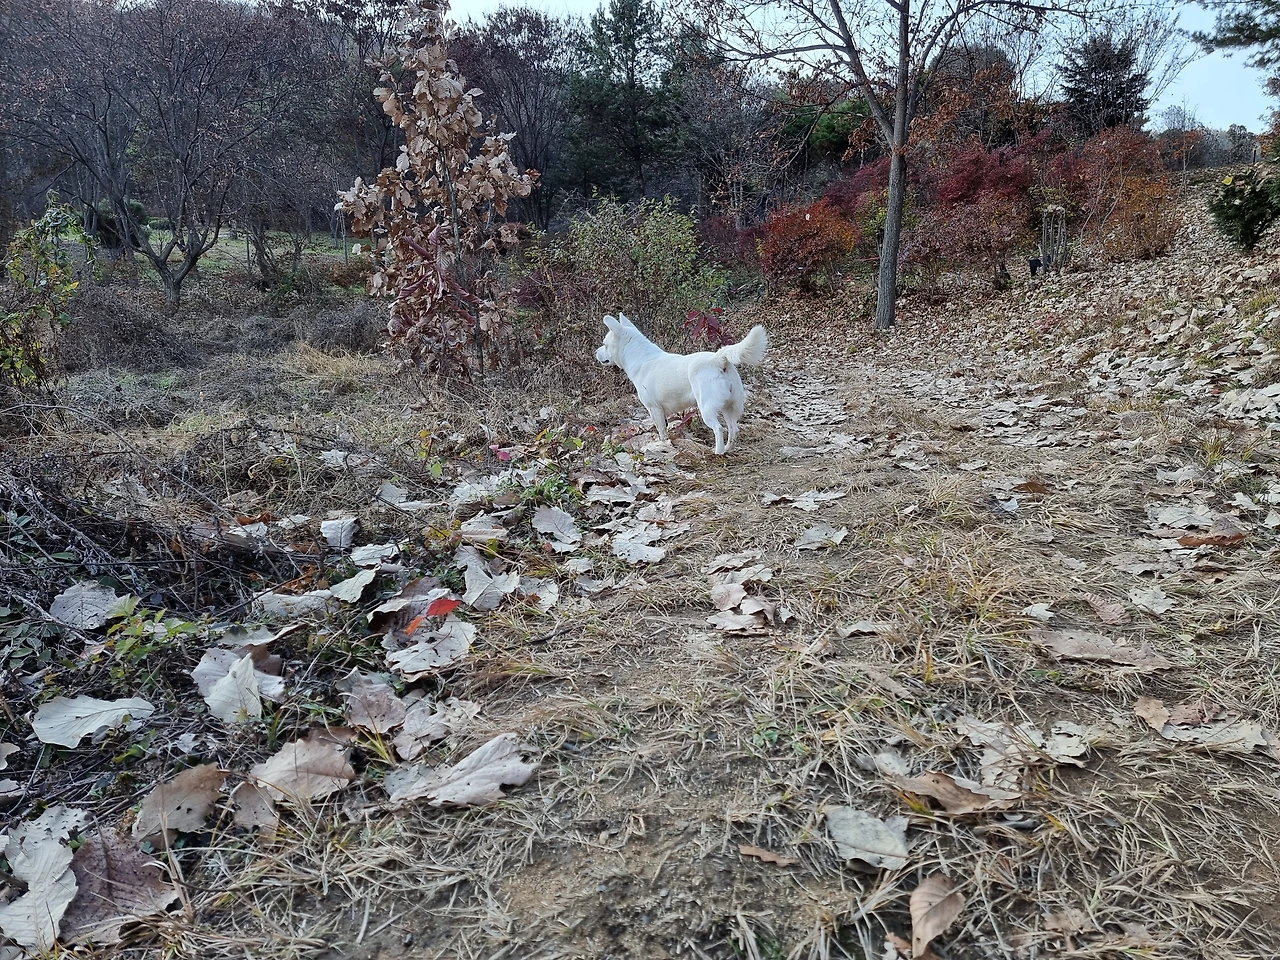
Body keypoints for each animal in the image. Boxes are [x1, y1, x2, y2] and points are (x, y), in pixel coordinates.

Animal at [595, 313, 768, 454]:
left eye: (605, 344)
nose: (596, 352)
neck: (641, 358)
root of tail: (718, 359)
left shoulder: (654, 409)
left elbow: (662, 432)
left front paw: (662, 446)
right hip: (729, 407)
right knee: (733, 429)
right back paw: (728, 448)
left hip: (707, 409)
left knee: (719, 429)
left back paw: (718, 452)